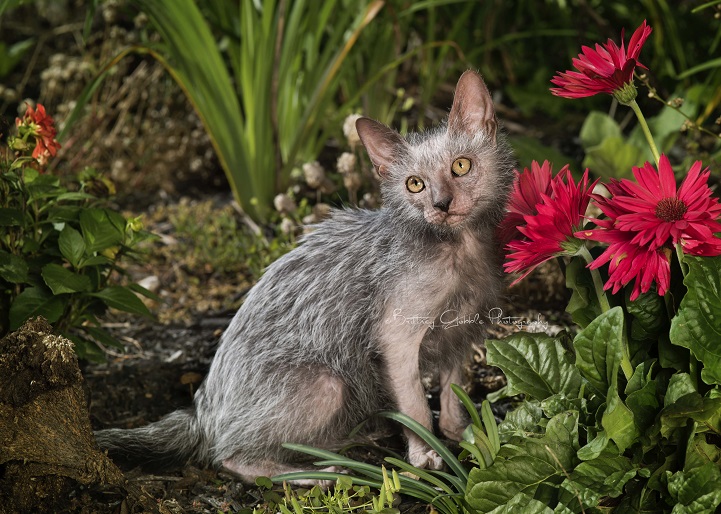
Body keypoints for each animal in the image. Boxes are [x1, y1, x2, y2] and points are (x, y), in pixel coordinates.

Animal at [95, 70, 516, 482]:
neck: (460, 250)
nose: (441, 204)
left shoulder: (462, 332)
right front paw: (426, 455)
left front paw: (464, 434)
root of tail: (201, 413)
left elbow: (453, 390)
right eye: (415, 184)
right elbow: (415, 407)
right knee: (230, 456)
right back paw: (320, 473)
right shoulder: (396, 338)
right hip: (326, 384)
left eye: (461, 166)